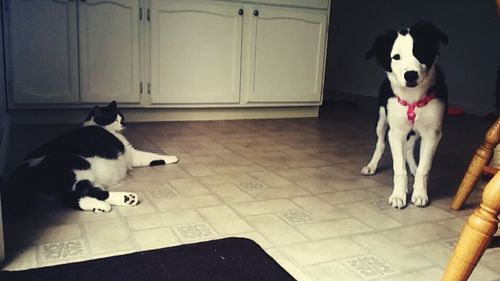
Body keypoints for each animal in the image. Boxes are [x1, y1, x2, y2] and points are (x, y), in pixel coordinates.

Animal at [3, 100, 179, 212]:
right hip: (77, 164)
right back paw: (127, 198)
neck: (98, 126)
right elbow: (151, 155)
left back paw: (103, 206)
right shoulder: (132, 153)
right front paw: (173, 157)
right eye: (116, 117)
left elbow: (152, 158)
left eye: (122, 117)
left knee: (83, 195)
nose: (124, 124)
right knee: (75, 195)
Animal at [360, 21, 450, 208]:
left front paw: (420, 193)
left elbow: (424, 167)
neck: (413, 97)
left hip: (414, 131)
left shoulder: (433, 134)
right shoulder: (396, 133)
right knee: (381, 144)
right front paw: (399, 195)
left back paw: (413, 170)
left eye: (420, 51)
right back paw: (371, 166)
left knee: (409, 148)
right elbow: (398, 168)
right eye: (396, 57)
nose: (410, 75)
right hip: (381, 120)